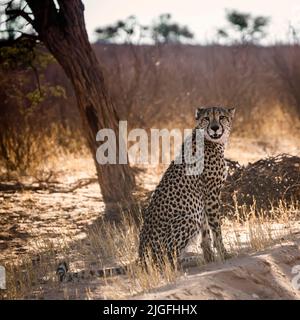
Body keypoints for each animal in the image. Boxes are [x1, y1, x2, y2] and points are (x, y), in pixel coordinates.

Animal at [56, 106, 234, 282]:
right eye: (206, 118)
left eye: (222, 117)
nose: (215, 128)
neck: (211, 141)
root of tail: (141, 255)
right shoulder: (211, 195)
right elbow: (216, 229)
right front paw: (224, 254)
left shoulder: (203, 200)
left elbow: (206, 234)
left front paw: (210, 257)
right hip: (189, 218)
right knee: (163, 263)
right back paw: (191, 260)